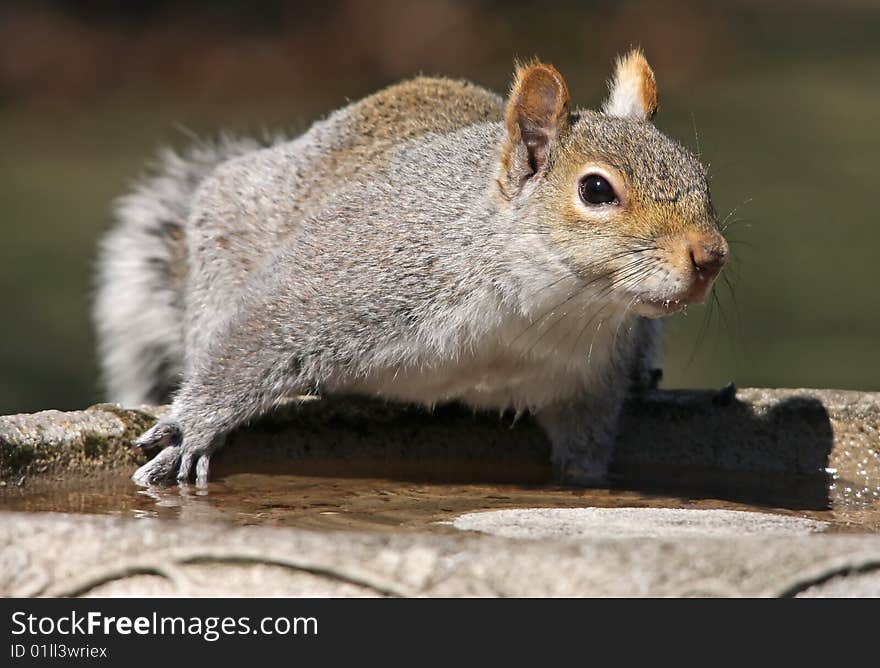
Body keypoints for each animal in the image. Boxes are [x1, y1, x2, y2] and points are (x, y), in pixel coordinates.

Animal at [94, 48, 728, 486]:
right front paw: (192, 430)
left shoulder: (587, 382)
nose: (711, 256)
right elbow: (254, 340)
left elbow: (586, 448)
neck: (542, 304)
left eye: (700, 173)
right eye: (596, 190)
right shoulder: (354, 274)